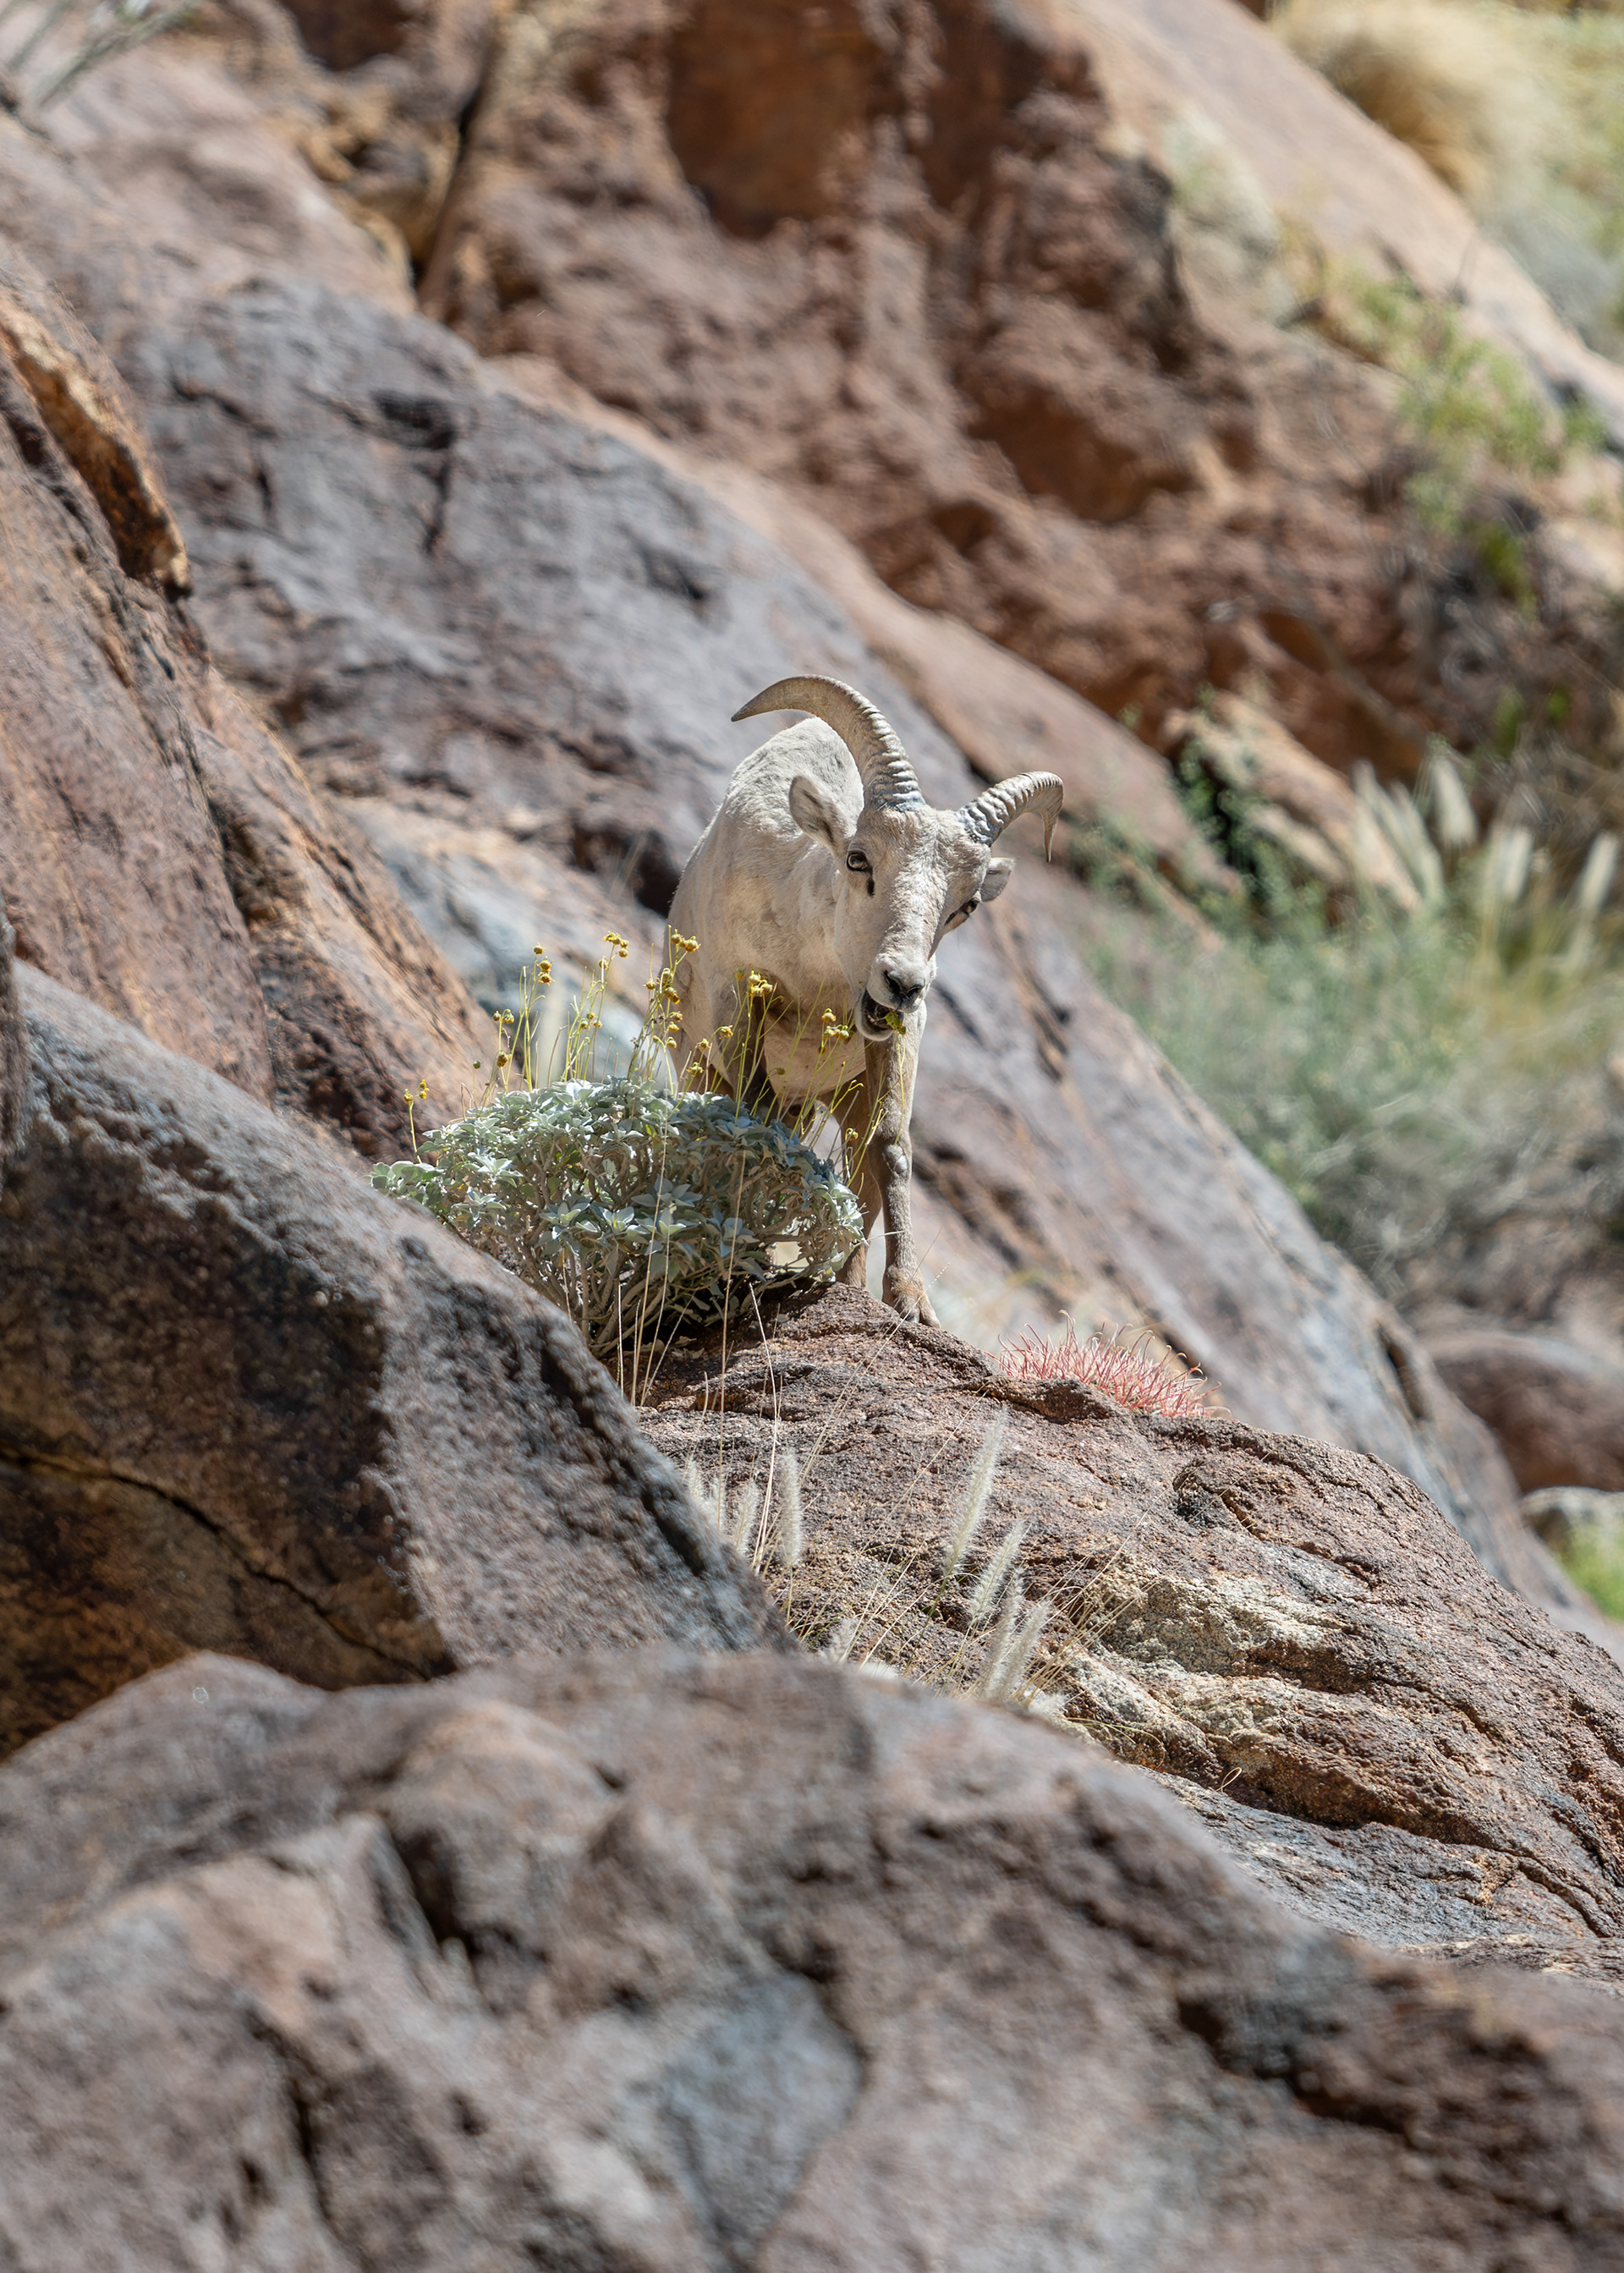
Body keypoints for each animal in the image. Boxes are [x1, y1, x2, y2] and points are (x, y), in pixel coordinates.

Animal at [669, 674, 1063, 1327]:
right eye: (858, 859)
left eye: (967, 905)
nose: (901, 982)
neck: (819, 978)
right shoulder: (740, 999)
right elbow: (754, 1117)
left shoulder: (898, 1041)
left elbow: (891, 1151)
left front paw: (911, 1303)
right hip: (699, 1065)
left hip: (841, 1096)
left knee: (860, 1172)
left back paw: (841, 1281)